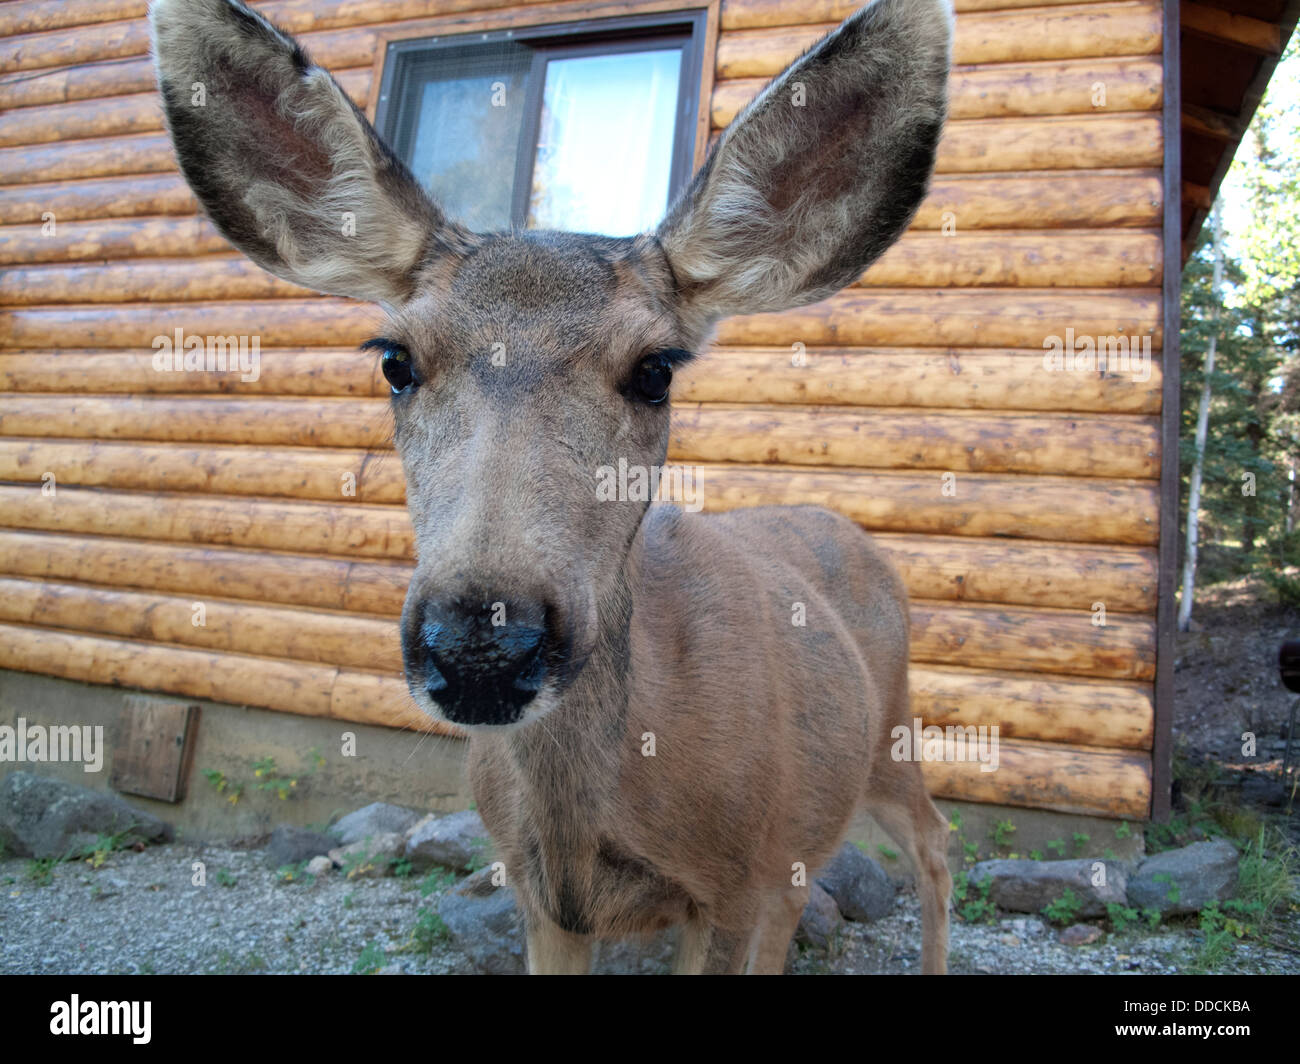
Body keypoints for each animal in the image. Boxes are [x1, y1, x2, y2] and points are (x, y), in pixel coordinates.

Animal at [154, 0, 956, 967]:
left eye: (654, 370)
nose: (483, 645)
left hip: (887, 741)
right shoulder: (543, 900)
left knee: (937, 841)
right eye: (395, 360)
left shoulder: (744, 884)